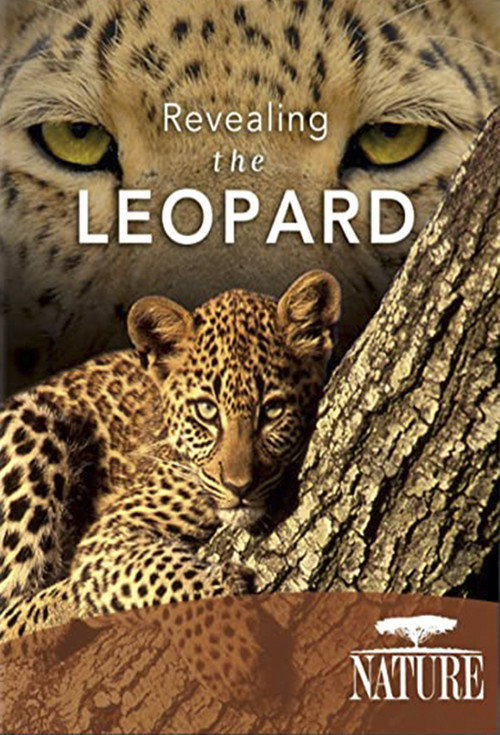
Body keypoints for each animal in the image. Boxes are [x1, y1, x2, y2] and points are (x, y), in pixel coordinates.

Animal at [0, 269, 340, 641]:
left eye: (273, 410)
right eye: (206, 410)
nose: (239, 487)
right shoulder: (113, 531)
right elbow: (150, 570)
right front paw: (227, 619)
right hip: (30, 422)